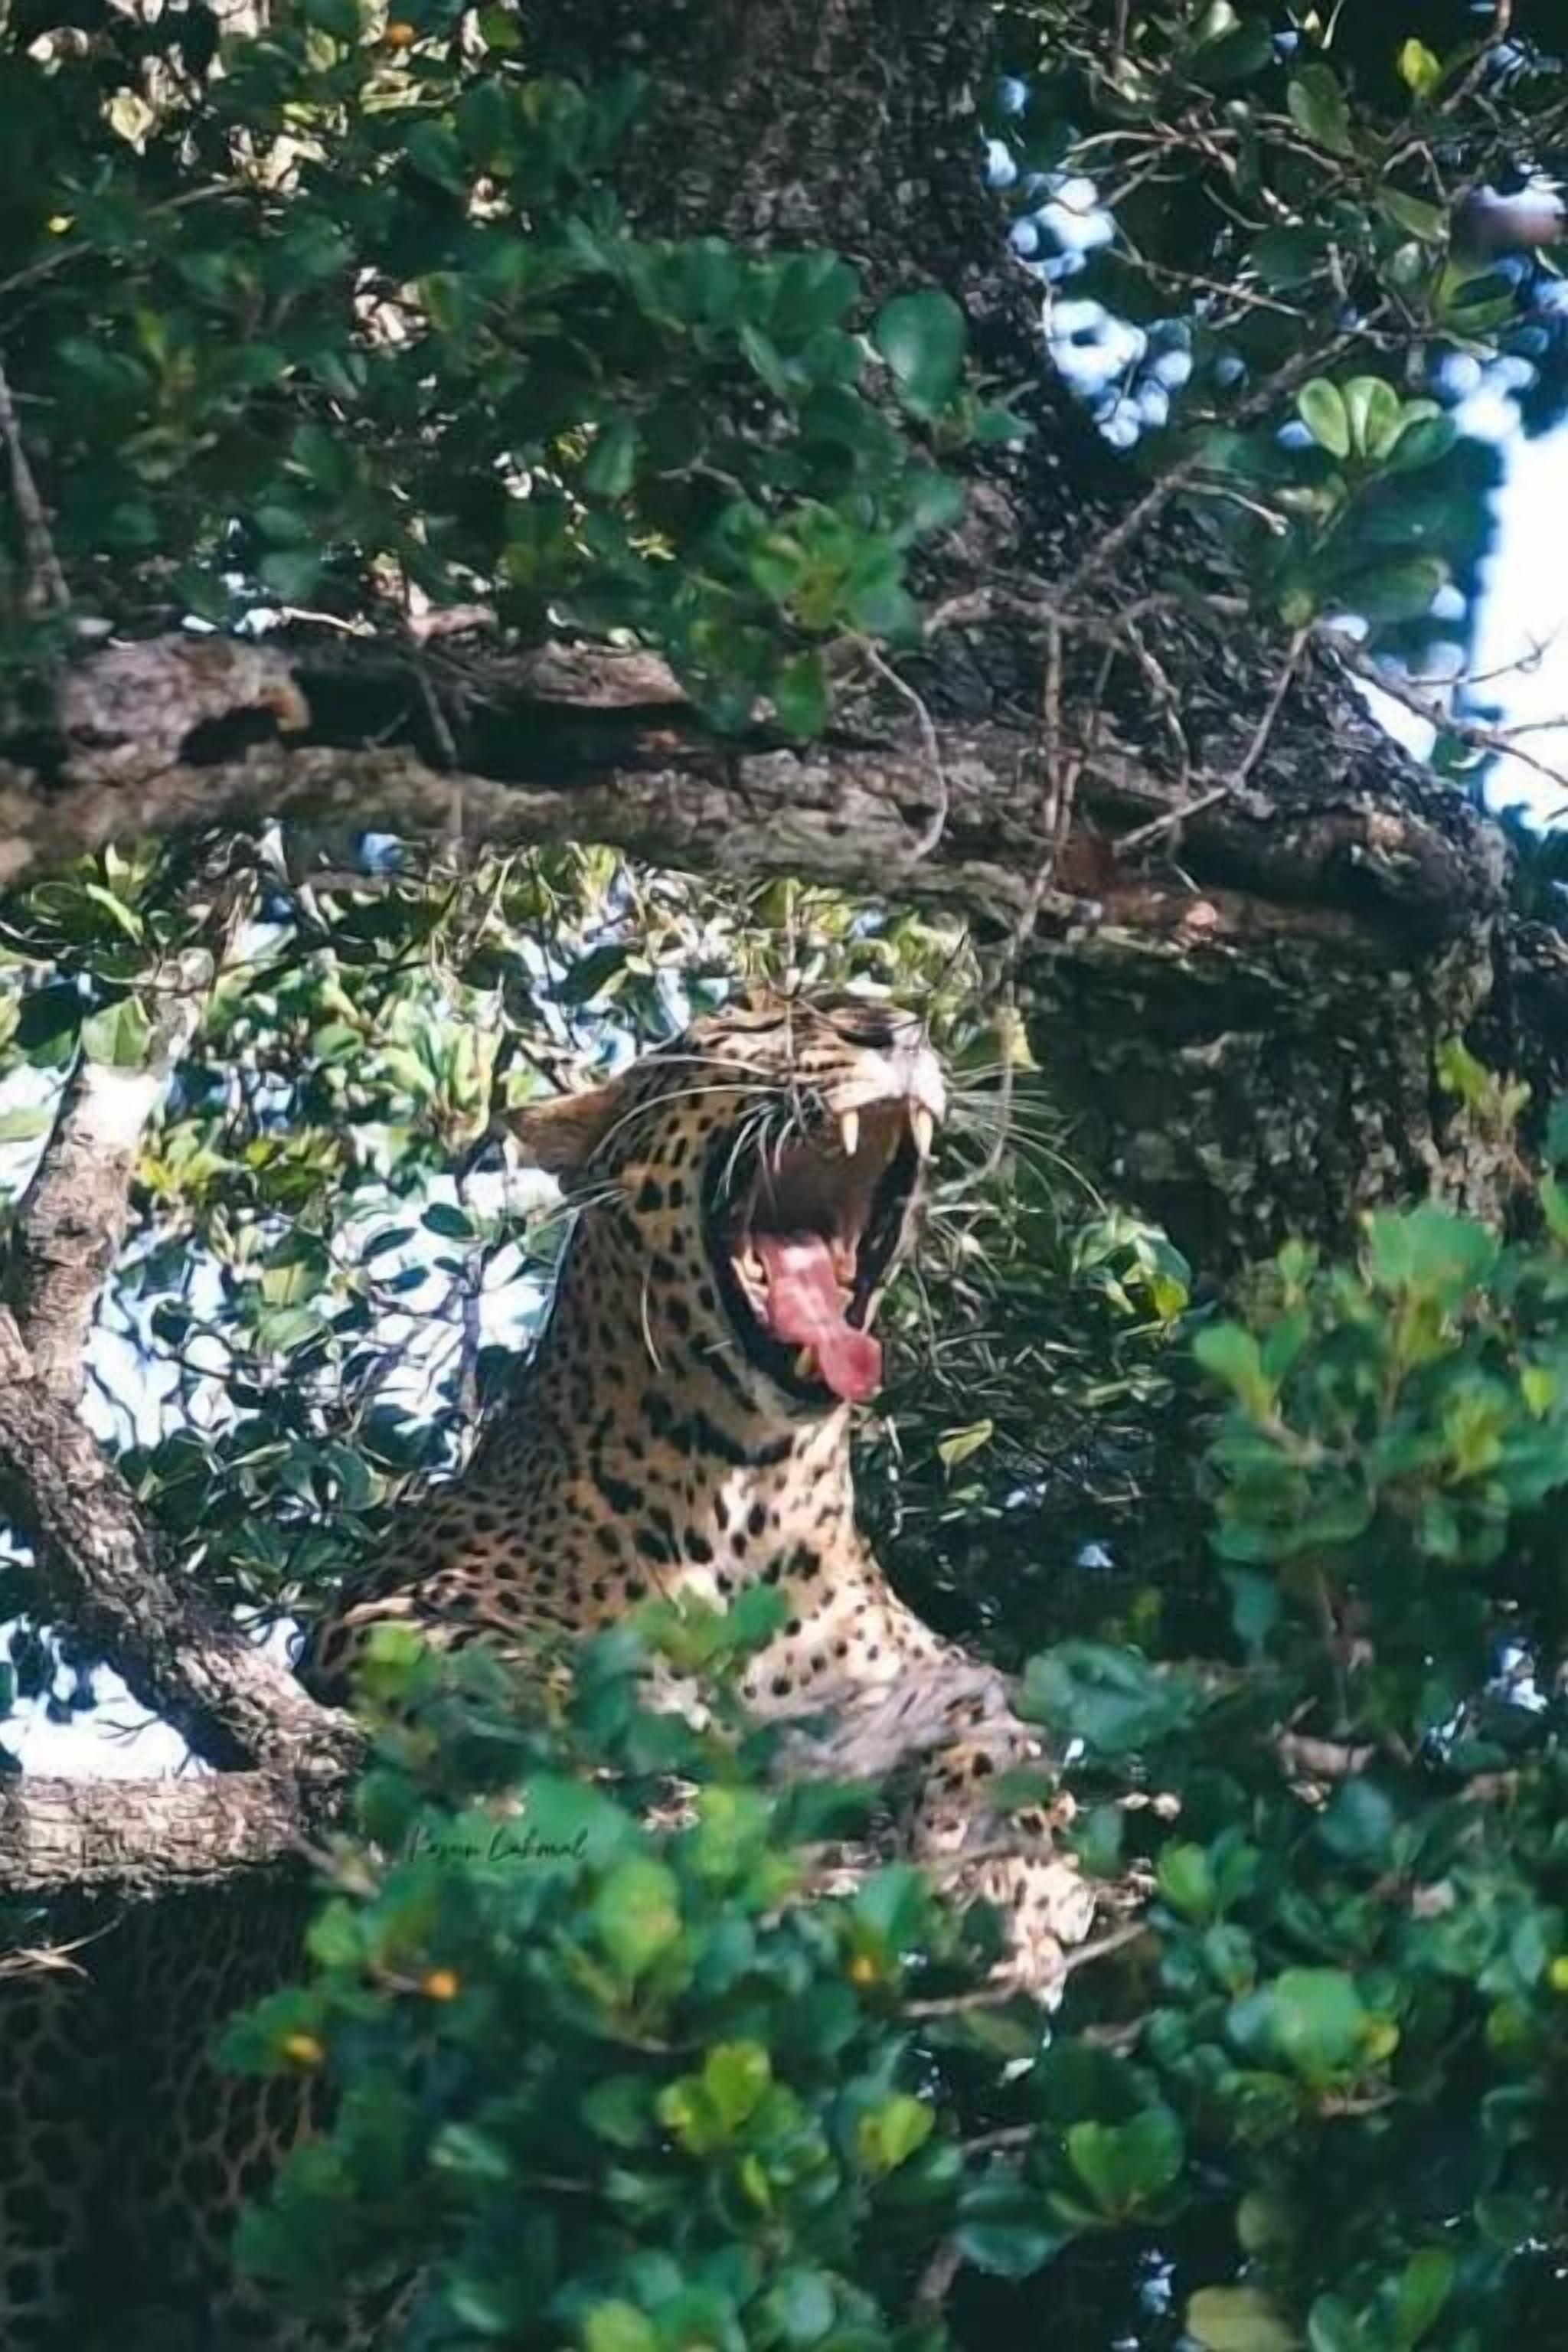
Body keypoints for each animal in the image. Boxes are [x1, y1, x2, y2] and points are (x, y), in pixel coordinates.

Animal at [1, 990, 1096, 2349]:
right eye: (755, 1018)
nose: (893, 1023)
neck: (756, 1491)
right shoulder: (389, 1619)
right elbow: (535, 1676)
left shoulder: (927, 1667)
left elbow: (1005, 1720)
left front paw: (1025, 1889)